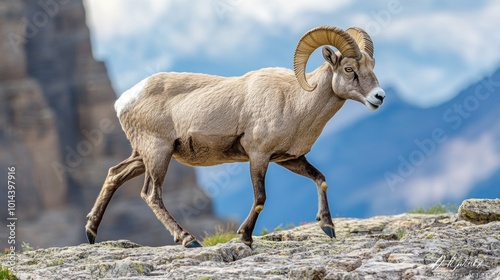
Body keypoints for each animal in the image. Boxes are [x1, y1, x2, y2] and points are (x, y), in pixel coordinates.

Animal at [85, 25, 386, 247]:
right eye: (349, 69)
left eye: (372, 66)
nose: (379, 97)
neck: (294, 101)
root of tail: (124, 100)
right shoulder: (258, 156)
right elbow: (260, 198)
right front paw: (245, 237)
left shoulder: (289, 159)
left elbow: (321, 180)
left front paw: (328, 227)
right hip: (158, 153)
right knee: (151, 194)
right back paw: (188, 240)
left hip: (143, 156)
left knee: (114, 175)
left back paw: (91, 232)